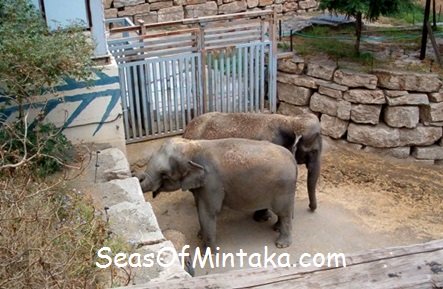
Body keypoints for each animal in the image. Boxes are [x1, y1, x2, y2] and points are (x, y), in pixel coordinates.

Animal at [139, 137, 298, 248]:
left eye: (164, 174)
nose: (139, 176)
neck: (192, 146)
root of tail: (292, 158)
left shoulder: (212, 182)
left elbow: (208, 212)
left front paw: (209, 253)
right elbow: (200, 208)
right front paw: (200, 235)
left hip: (284, 188)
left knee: (284, 213)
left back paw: (281, 244)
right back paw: (272, 226)